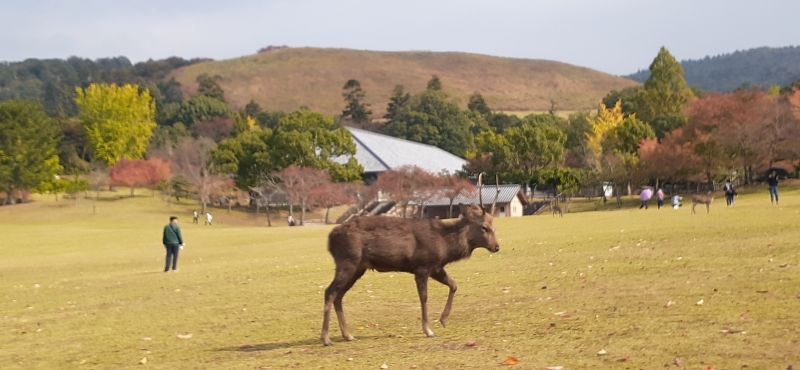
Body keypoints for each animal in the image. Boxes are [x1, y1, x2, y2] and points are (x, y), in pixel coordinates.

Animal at [320, 173, 500, 346]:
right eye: (484, 227)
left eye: (494, 227)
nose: (496, 247)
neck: (444, 245)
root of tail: (330, 239)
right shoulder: (422, 266)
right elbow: (424, 297)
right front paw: (428, 330)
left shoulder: (435, 267)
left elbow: (454, 285)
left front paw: (443, 320)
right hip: (347, 260)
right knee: (329, 291)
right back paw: (326, 338)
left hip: (358, 267)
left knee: (339, 295)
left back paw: (348, 335)